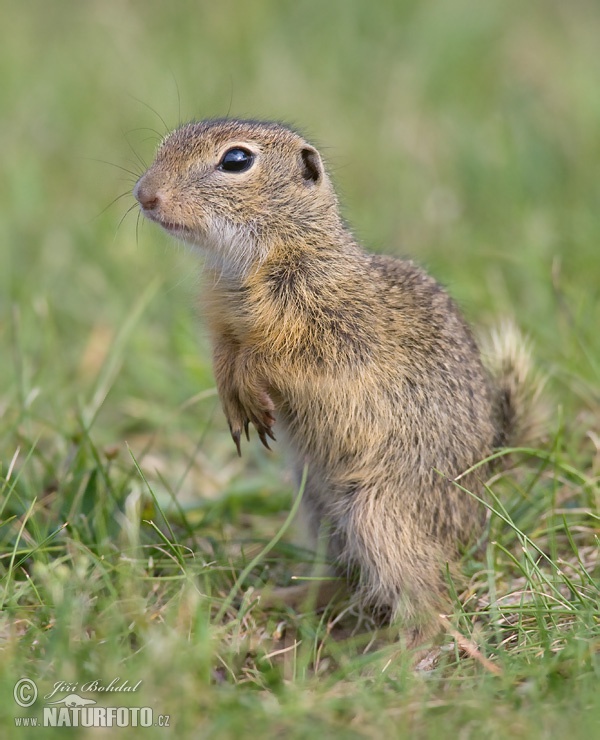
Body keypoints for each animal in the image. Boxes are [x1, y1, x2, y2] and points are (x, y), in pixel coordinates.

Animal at [132, 118, 544, 644]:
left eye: (236, 161)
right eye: (164, 145)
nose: (145, 195)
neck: (251, 262)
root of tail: (485, 500)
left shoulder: (336, 331)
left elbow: (277, 357)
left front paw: (250, 379)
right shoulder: (222, 323)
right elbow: (225, 354)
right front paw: (231, 392)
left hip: (379, 513)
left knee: (430, 601)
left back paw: (394, 652)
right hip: (317, 505)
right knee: (347, 578)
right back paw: (282, 598)